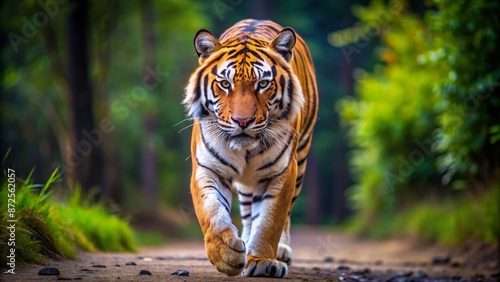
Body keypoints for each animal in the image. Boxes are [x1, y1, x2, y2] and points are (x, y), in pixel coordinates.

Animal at [183, 18, 316, 278]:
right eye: (225, 84)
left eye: (263, 83)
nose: (242, 121)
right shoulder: (207, 169)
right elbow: (212, 213)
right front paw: (226, 254)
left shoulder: (282, 172)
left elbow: (270, 221)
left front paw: (263, 261)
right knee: (246, 214)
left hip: (302, 158)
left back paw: (280, 250)